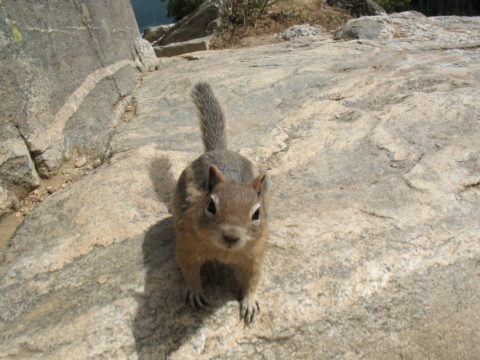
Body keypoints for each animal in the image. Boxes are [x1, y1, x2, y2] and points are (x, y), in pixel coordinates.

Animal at [173, 83, 270, 324]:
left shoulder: (255, 253)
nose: (231, 236)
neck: (223, 252)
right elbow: (188, 269)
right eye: (211, 206)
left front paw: (250, 302)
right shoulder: (186, 244)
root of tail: (218, 149)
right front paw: (195, 292)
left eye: (256, 214)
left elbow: (253, 278)